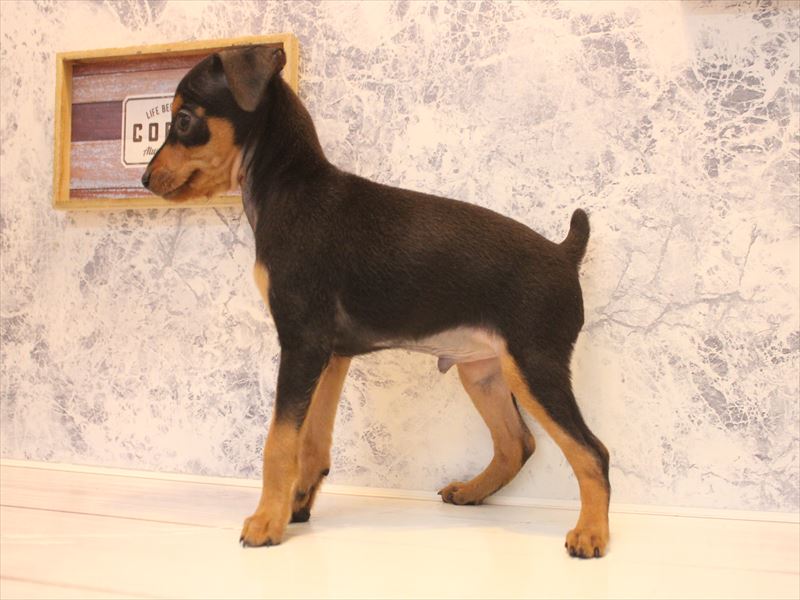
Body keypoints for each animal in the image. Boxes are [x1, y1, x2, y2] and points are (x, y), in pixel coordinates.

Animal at [142, 45, 610, 558]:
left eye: (183, 120)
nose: (143, 178)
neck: (289, 187)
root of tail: (564, 253)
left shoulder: (301, 343)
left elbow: (279, 441)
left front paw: (266, 521)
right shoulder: (330, 355)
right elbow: (312, 442)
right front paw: (296, 507)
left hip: (534, 365)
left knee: (591, 451)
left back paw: (591, 533)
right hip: (483, 371)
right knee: (517, 443)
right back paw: (471, 491)